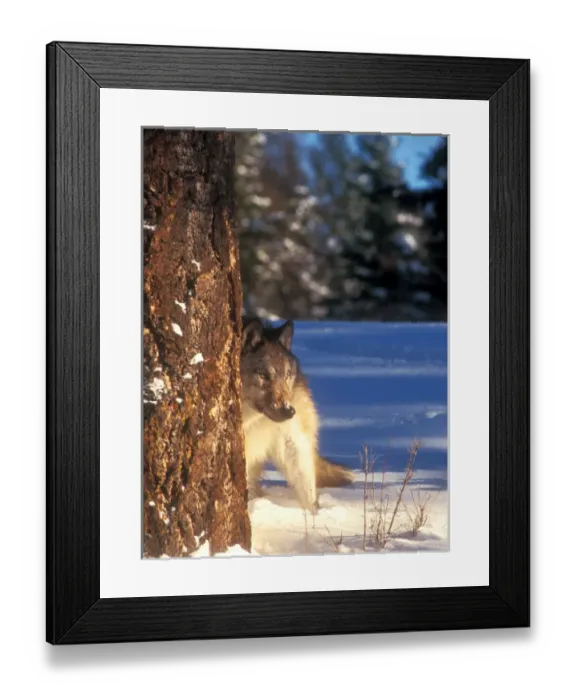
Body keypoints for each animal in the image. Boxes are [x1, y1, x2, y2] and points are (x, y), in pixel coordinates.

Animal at [240, 316, 354, 513]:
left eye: (287, 375)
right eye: (263, 375)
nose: (289, 411)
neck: (253, 420)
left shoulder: (291, 440)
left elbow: (308, 490)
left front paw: (314, 517)